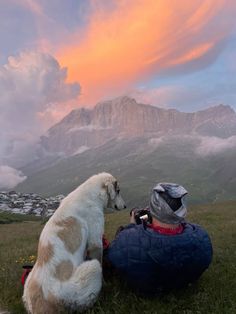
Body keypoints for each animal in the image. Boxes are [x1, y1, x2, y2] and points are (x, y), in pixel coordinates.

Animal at [22, 173, 125, 312]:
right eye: (118, 191)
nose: (125, 206)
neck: (91, 195)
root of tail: (41, 306)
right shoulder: (96, 243)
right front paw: (106, 284)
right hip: (92, 268)